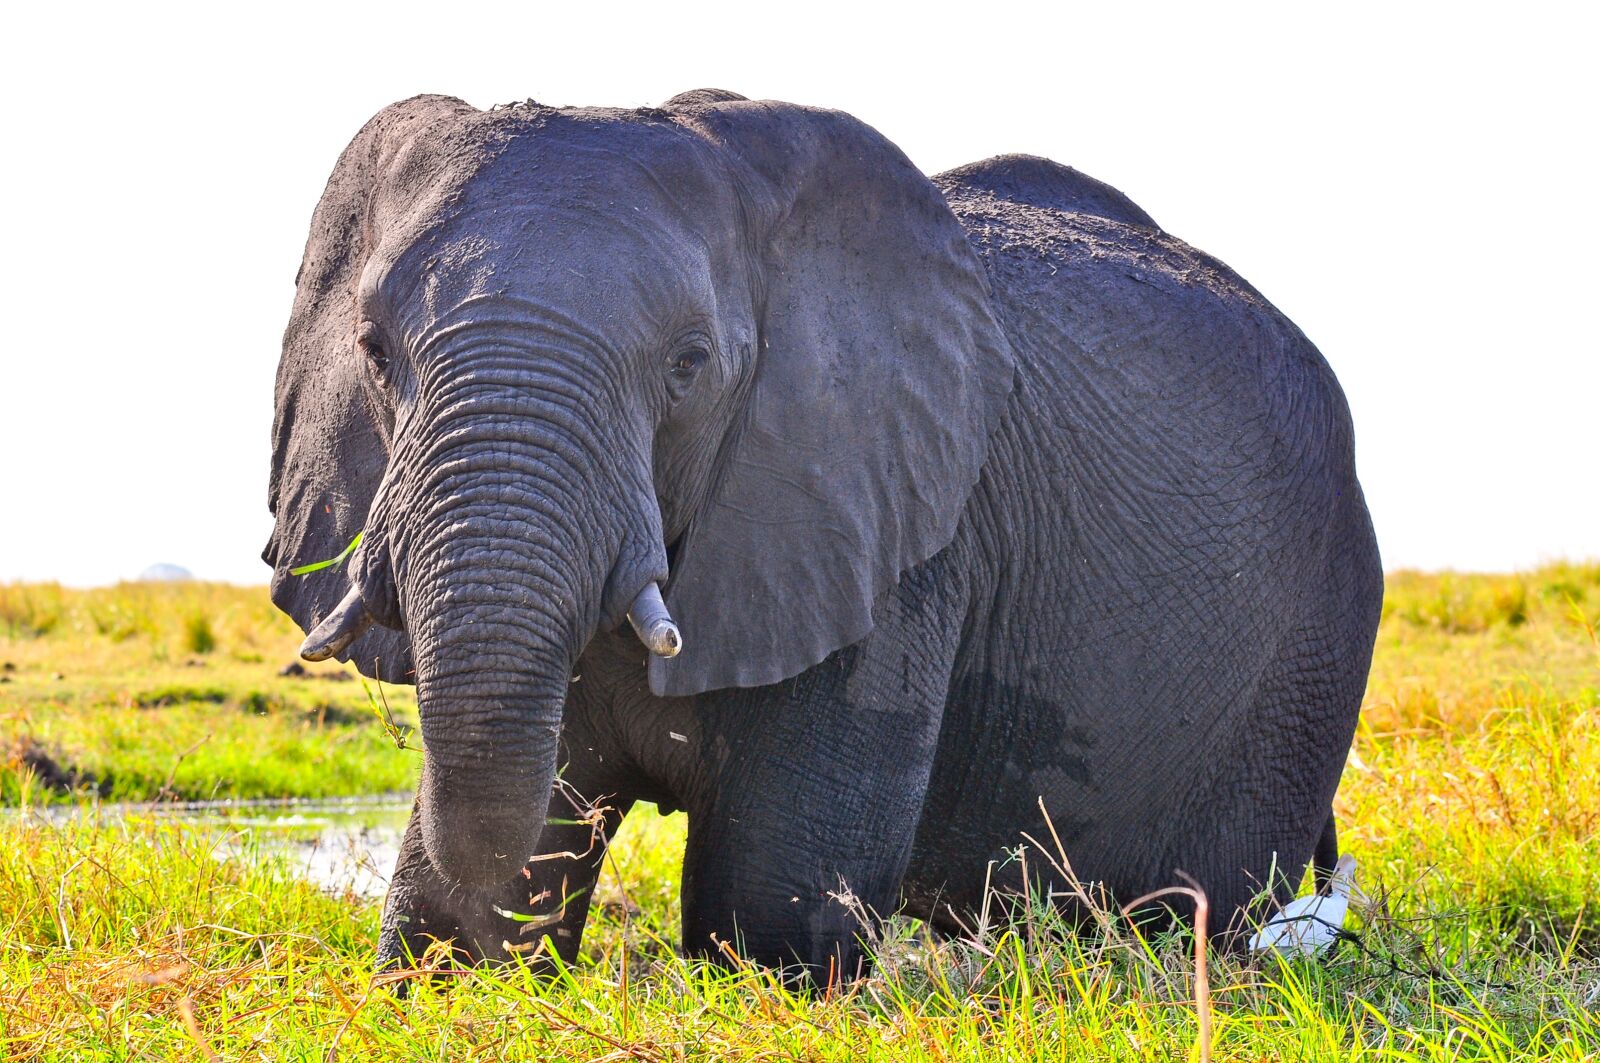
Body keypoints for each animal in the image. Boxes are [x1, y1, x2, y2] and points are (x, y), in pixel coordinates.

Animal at [265, 89, 1382, 980]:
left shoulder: (895, 529)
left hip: (1309, 654)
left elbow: (771, 906)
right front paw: (460, 966)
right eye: (374, 351)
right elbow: (457, 899)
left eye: (689, 364)